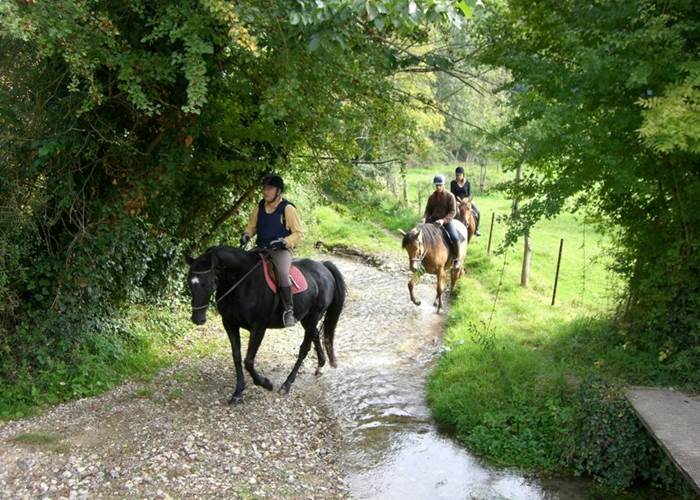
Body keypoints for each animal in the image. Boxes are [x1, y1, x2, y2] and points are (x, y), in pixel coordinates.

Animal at [185, 246, 346, 404]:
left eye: (209, 283)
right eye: (189, 284)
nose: (197, 319)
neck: (242, 282)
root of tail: (323, 266)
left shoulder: (258, 328)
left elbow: (248, 361)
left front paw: (265, 383)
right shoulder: (230, 324)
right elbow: (237, 357)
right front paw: (238, 392)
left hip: (314, 316)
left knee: (304, 348)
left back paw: (287, 384)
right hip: (306, 319)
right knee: (316, 335)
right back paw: (320, 365)